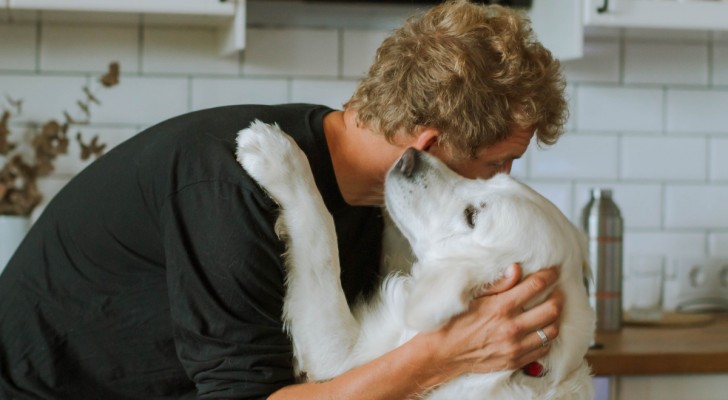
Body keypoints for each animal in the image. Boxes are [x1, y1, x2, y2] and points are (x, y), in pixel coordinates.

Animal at [236, 122, 596, 400]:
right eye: (486, 179)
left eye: (472, 216)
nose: (409, 157)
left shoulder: (341, 357)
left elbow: (321, 234)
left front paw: (277, 156)